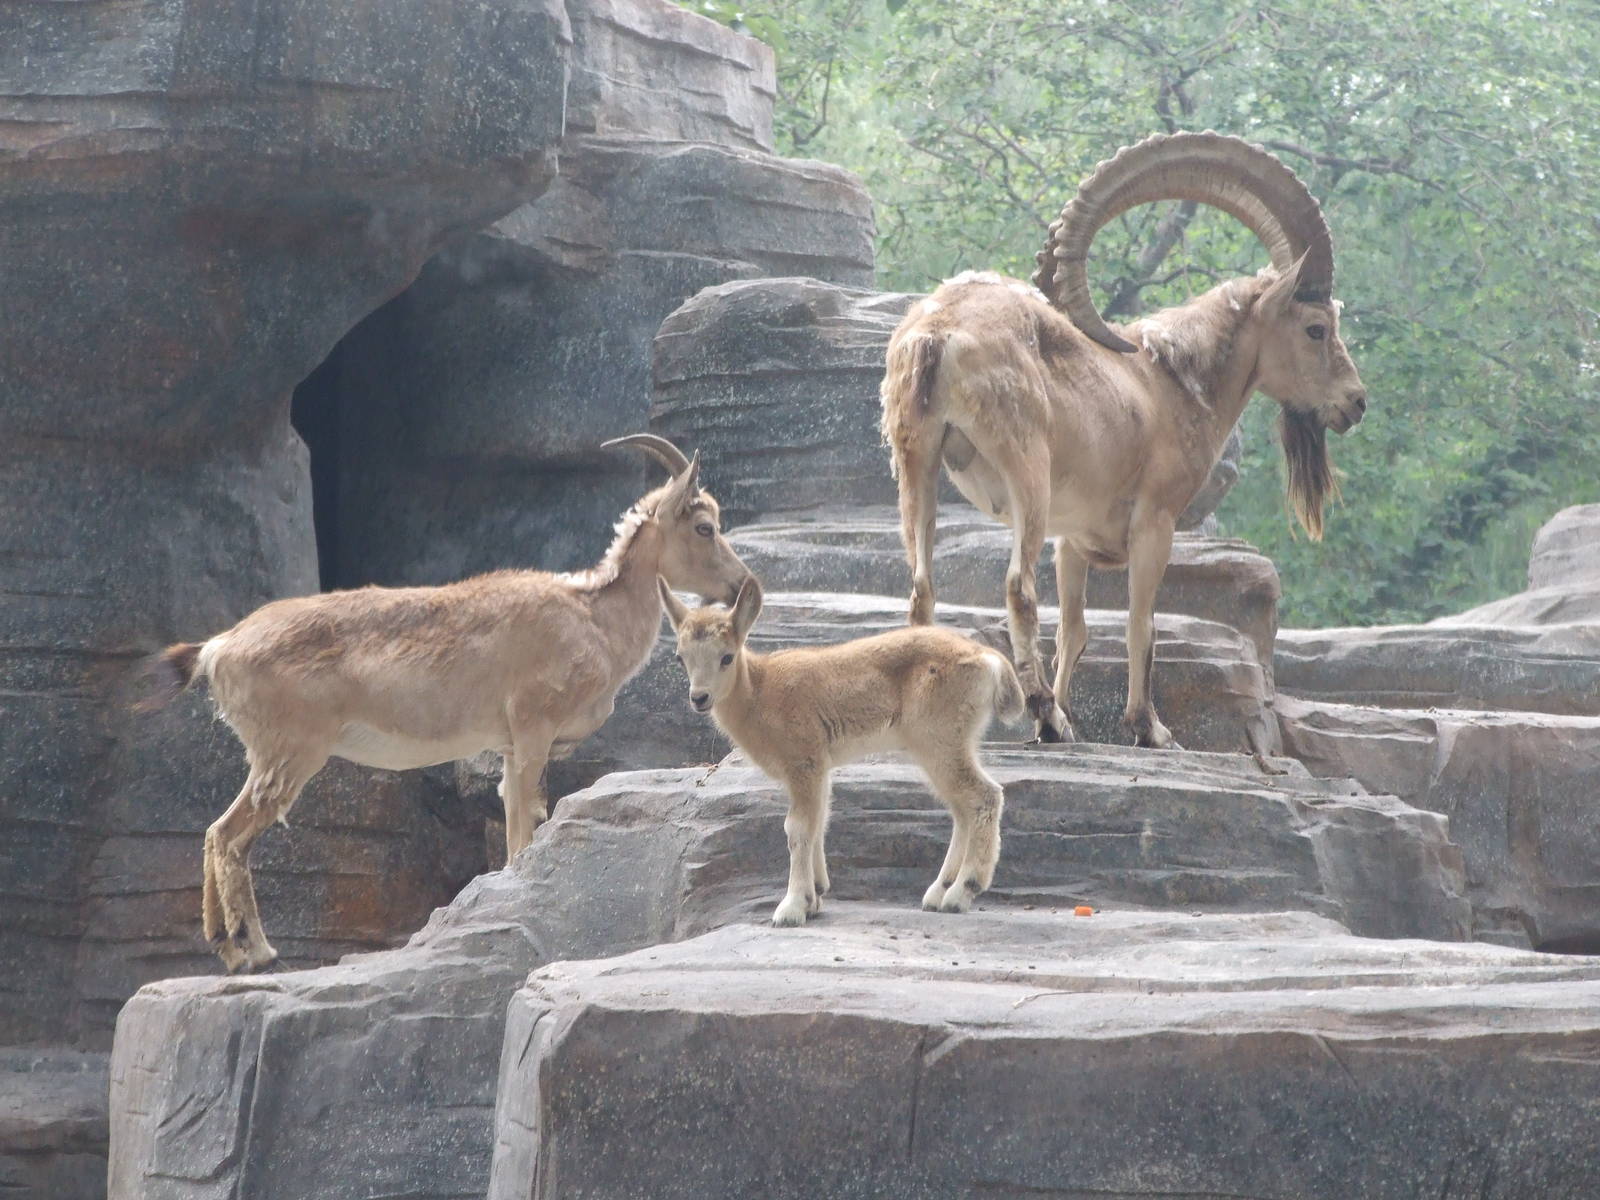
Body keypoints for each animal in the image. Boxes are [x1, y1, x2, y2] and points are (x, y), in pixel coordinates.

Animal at [139, 435, 750, 972]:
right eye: (704, 525)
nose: (741, 583)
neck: (593, 619)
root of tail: (218, 648)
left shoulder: (511, 746)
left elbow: (517, 823)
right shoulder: (533, 730)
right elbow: (523, 830)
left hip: (269, 755)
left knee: (214, 831)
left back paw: (225, 948)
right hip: (289, 753)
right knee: (231, 837)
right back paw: (256, 953)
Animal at [660, 575, 1024, 925]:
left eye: (726, 656)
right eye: (680, 657)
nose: (699, 698)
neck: (760, 694)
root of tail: (990, 660)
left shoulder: (803, 760)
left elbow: (798, 827)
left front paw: (792, 908)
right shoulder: (820, 767)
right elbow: (819, 820)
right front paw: (816, 896)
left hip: (939, 738)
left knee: (984, 796)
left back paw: (962, 892)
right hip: (950, 742)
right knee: (962, 807)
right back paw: (938, 892)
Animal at [881, 131, 1366, 747]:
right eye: (1316, 328)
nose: (1355, 403)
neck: (1172, 381)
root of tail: (937, 334)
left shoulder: (1071, 541)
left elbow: (1076, 628)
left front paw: (1064, 718)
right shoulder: (1154, 521)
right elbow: (1141, 623)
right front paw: (1147, 726)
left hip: (914, 458)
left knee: (921, 588)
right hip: (1026, 472)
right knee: (1018, 587)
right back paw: (1041, 707)